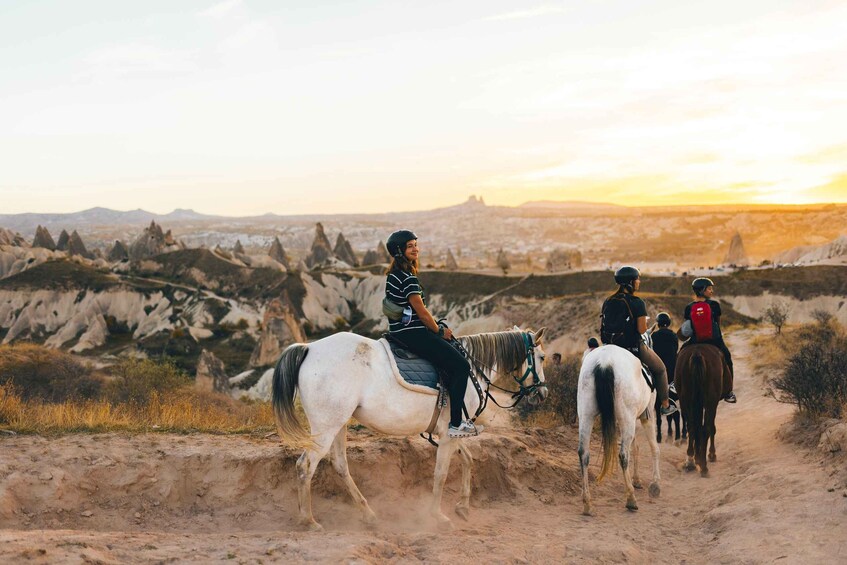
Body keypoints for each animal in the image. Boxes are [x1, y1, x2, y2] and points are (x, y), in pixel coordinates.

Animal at [272, 326, 548, 528]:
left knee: (340, 465)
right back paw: (308, 520)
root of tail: (309, 348)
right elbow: (441, 473)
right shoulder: (448, 436)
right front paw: (438, 516)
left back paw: (368, 514)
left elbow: (468, 460)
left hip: (339, 424)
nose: (543, 393)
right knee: (305, 466)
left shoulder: (451, 431)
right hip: (326, 428)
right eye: (542, 357)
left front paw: (463, 506)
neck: (472, 372)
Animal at [576, 344, 664, 516]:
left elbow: (635, 447)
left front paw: (637, 479)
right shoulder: (647, 416)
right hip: (627, 417)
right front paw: (655, 483)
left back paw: (587, 503)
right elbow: (653, 448)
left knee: (584, 453)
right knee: (623, 454)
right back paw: (631, 499)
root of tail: (604, 362)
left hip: (586, 414)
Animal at [676, 344, 728, 476]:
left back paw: (691, 461)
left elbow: (697, 427)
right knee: (705, 428)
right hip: (710, 401)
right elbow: (711, 428)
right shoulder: (712, 403)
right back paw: (703, 466)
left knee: (692, 426)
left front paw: (698, 456)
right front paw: (710, 454)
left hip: (687, 401)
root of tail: (697, 353)